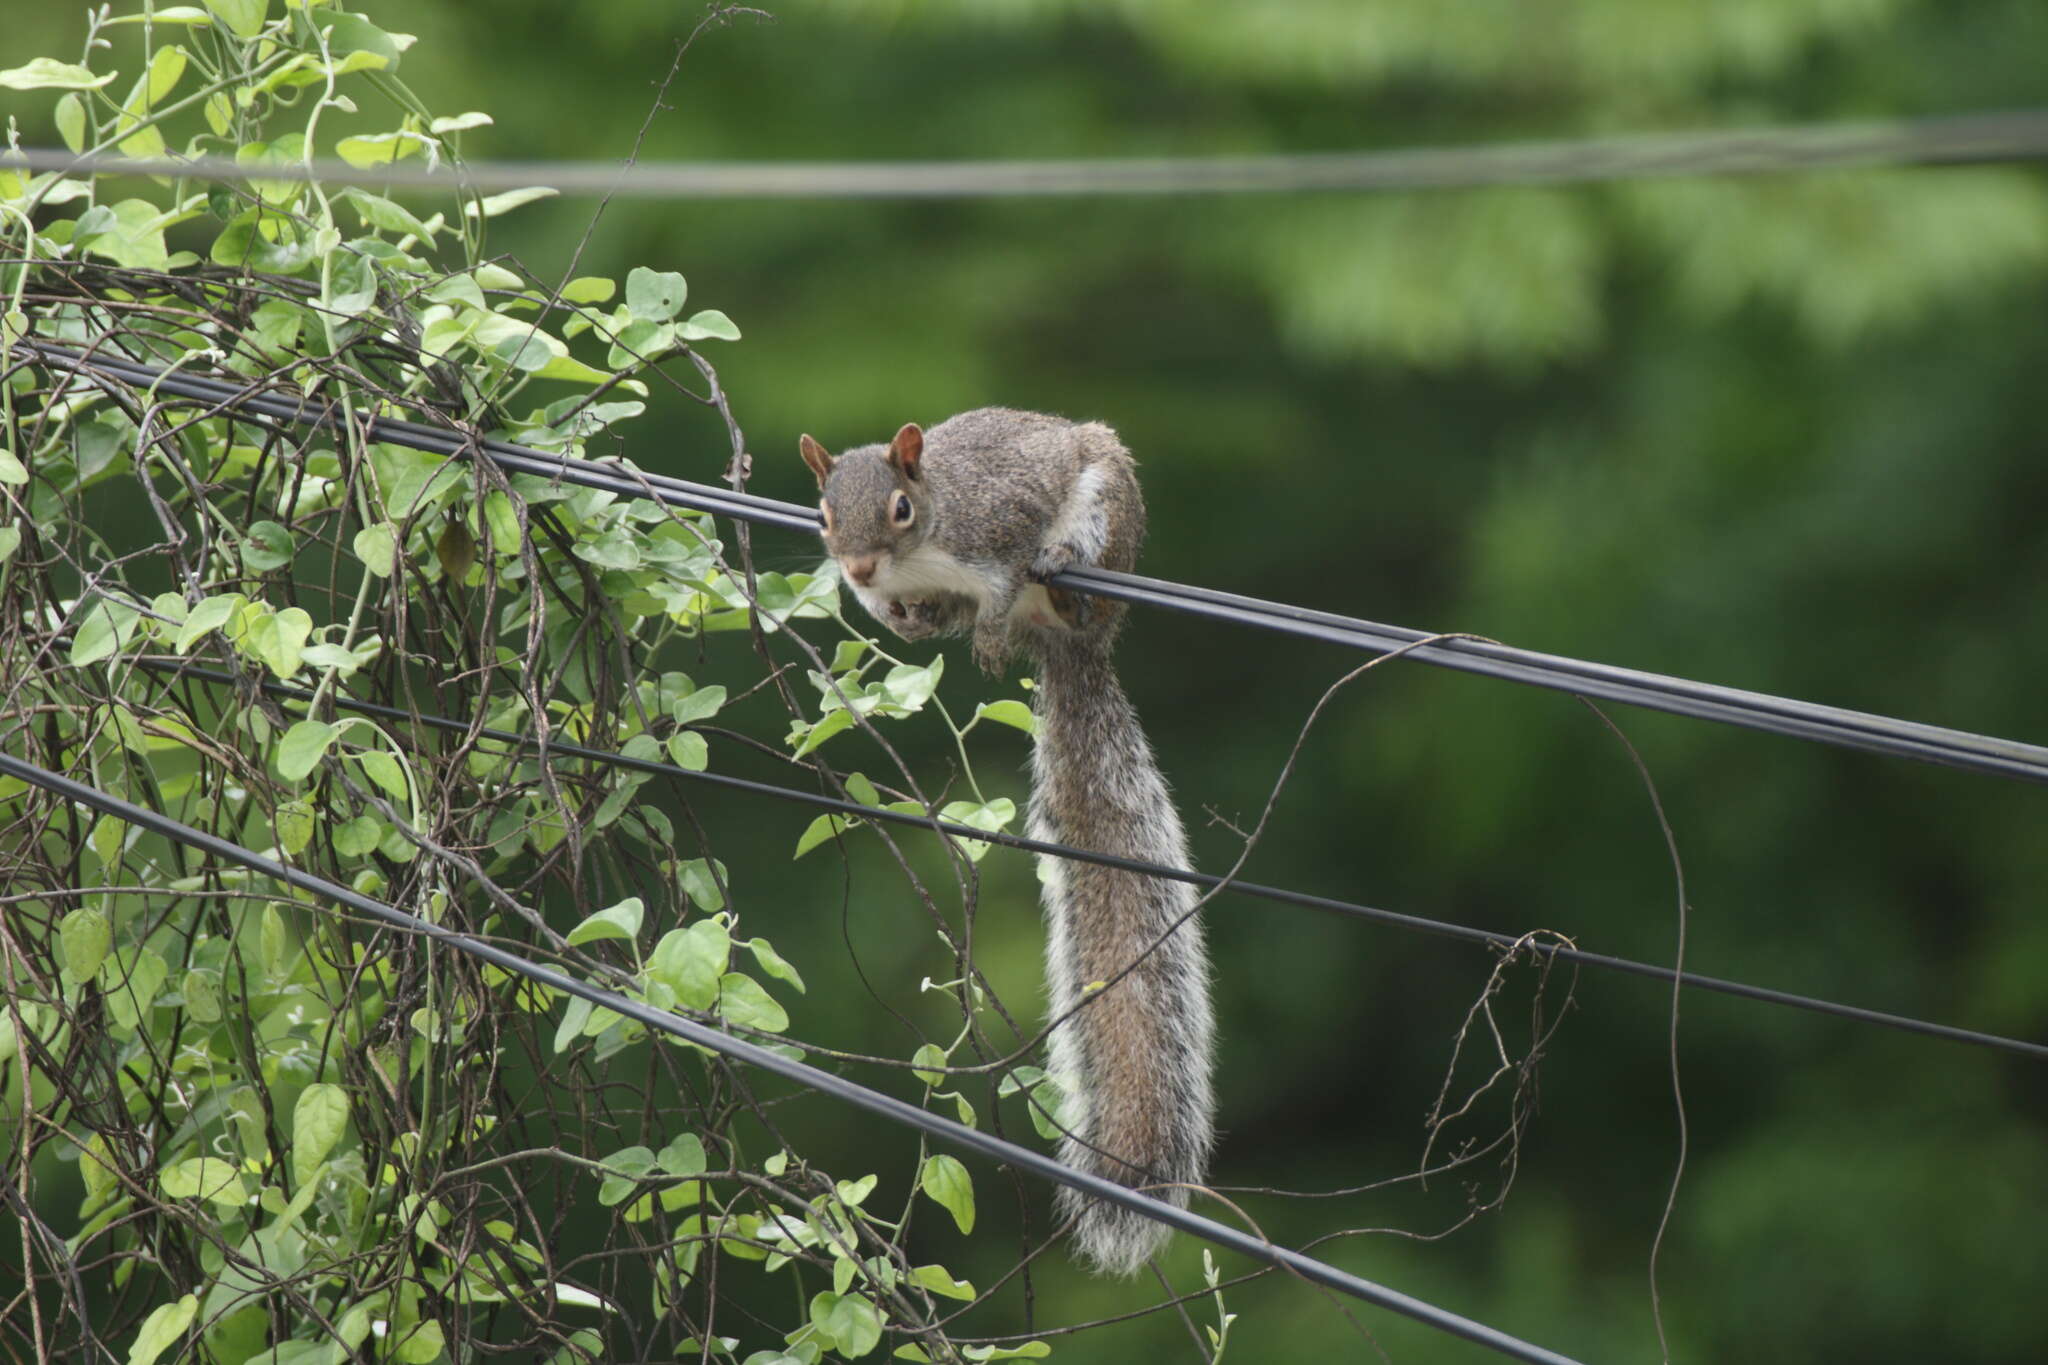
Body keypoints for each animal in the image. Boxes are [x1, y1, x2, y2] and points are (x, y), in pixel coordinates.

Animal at [798, 411, 1212, 1277]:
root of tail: (1068, 645)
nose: (858, 567)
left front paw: (987, 629)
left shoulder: (1001, 524)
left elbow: (997, 583)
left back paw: (1061, 580)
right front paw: (898, 616)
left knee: (1070, 579)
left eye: (900, 509)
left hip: (1105, 511)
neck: (924, 549)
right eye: (822, 513)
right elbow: (907, 611)